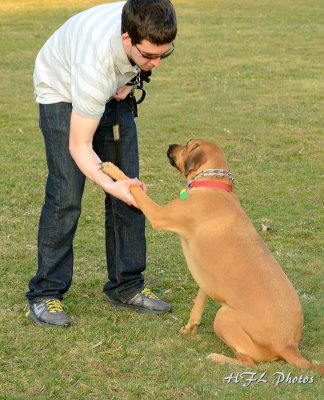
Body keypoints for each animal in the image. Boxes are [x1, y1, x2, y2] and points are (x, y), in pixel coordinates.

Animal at [102, 138, 324, 372]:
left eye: (188, 144)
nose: (170, 146)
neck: (212, 184)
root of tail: (288, 345)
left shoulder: (158, 214)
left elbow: (134, 187)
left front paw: (112, 169)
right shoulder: (205, 281)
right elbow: (198, 305)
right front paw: (189, 328)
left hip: (223, 317)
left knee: (249, 362)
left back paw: (218, 358)